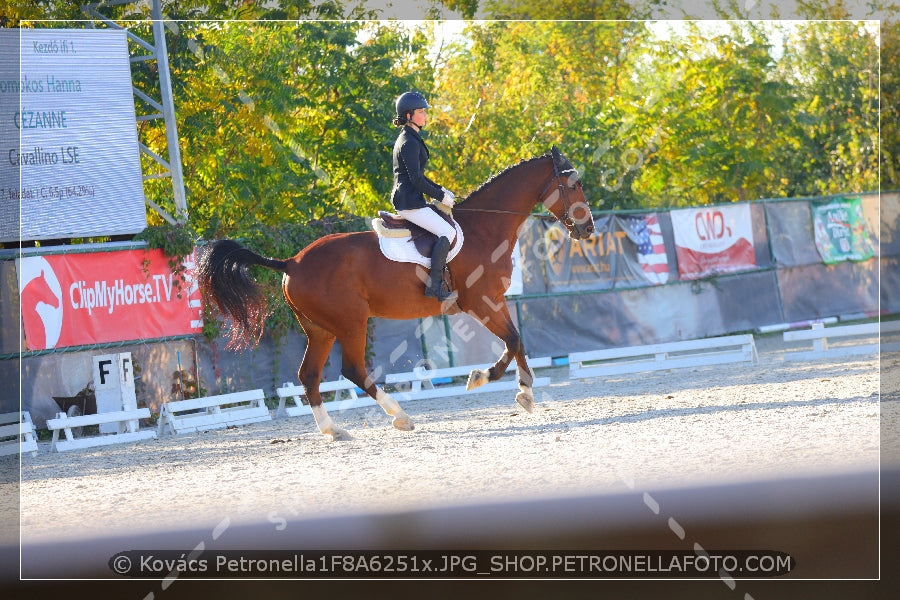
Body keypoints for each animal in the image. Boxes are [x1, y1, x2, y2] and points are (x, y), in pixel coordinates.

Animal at [200, 146, 596, 440]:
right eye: (574, 185)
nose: (588, 228)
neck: (483, 228)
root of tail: (292, 263)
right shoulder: (482, 303)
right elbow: (512, 341)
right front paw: (488, 380)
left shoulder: (494, 301)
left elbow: (517, 341)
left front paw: (523, 391)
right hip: (351, 323)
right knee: (354, 370)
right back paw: (401, 416)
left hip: (321, 329)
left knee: (309, 376)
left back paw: (333, 430)